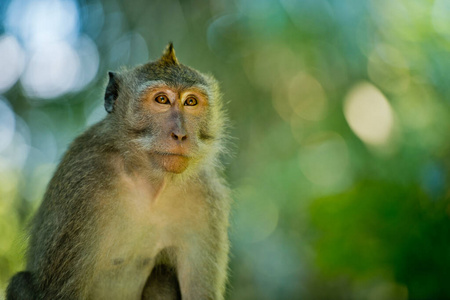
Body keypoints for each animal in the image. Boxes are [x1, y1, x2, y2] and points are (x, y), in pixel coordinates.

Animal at [6, 42, 232, 300]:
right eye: (162, 99)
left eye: (191, 102)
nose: (180, 135)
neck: (147, 181)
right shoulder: (83, 183)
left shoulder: (206, 199)